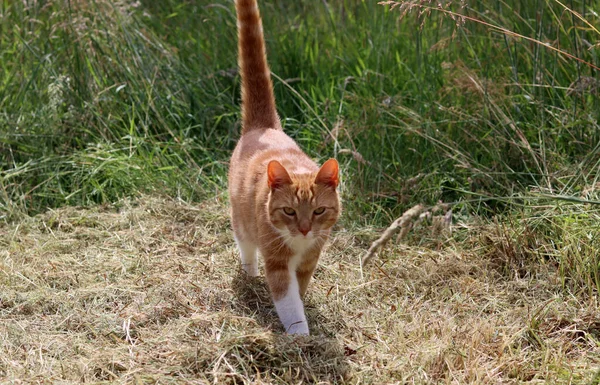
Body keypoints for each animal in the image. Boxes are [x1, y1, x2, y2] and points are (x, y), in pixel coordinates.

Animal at [230, 0, 340, 332]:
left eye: (319, 210)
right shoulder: (277, 263)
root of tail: (264, 127)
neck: (299, 247)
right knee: (246, 249)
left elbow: (299, 293)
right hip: (240, 223)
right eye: (289, 211)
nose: (304, 230)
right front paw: (300, 334)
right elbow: (287, 301)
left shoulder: (308, 262)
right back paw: (250, 275)